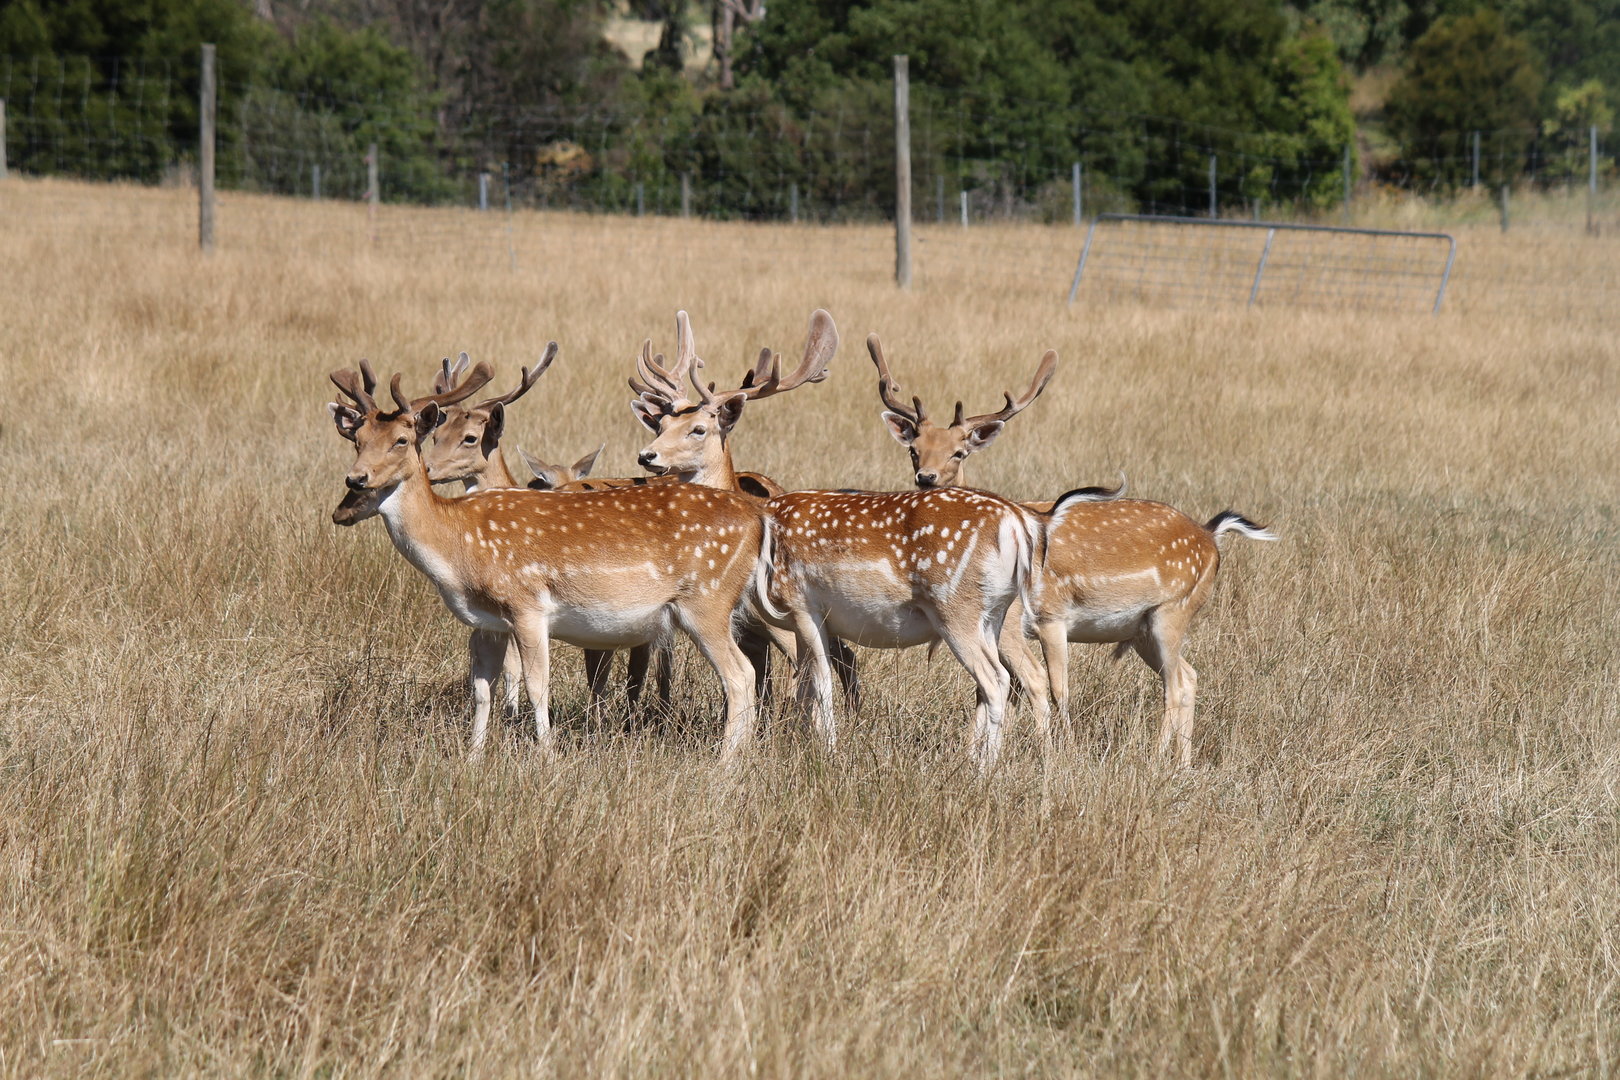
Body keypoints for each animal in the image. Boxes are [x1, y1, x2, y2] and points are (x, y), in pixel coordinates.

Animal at [327, 359, 774, 762]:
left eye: (402, 440)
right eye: (358, 439)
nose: (356, 479)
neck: (458, 547)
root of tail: (756, 517)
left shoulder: (526, 604)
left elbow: (537, 686)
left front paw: (546, 757)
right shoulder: (486, 623)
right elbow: (482, 690)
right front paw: (472, 760)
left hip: (707, 600)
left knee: (741, 675)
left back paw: (725, 763)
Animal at [867, 334, 1276, 765]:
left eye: (959, 451)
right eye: (914, 448)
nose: (925, 478)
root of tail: (1212, 537)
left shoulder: (1040, 619)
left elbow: (1046, 686)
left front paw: (1054, 753)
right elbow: (995, 689)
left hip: (1172, 611)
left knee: (1176, 682)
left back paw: (1155, 759)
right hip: (1143, 628)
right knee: (1190, 675)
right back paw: (1181, 763)